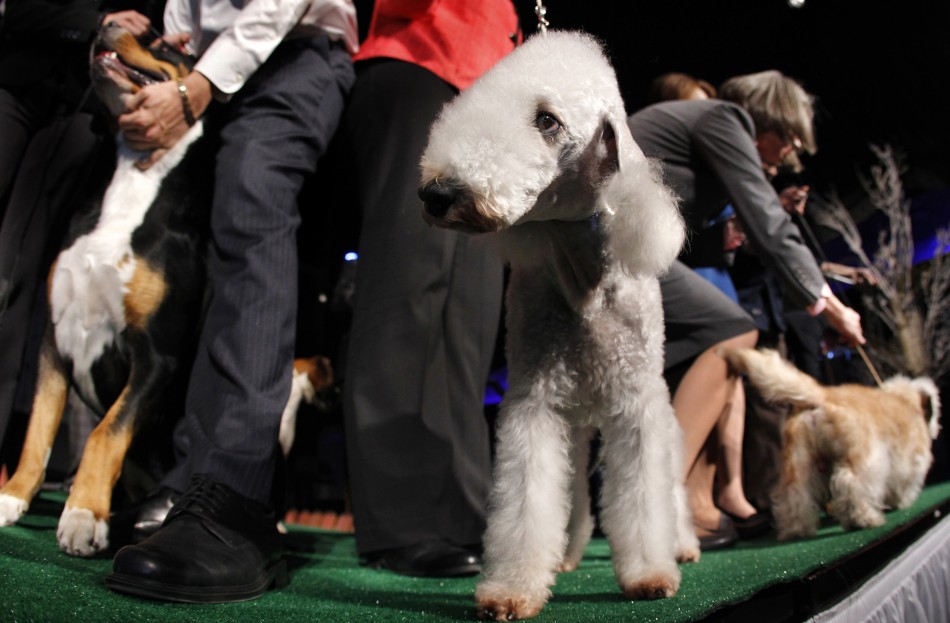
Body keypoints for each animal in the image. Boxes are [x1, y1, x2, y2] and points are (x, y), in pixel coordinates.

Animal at [420, 31, 696, 620]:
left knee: (670, 489)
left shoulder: (636, 404)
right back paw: (566, 555)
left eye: (547, 120)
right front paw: (513, 589)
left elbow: (645, 496)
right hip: (577, 420)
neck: (584, 276)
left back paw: (683, 545)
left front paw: (649, 574)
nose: (437, 194)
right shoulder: (536, 401)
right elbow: (528, 501)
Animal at [724, 346, 940, 540]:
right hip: (862, 460)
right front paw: (902, 502)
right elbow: (904, 483)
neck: (905, 401)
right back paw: (862, 519)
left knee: (794, 496)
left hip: (798, 466)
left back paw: (796, 530)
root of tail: (823, 395)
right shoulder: (908, 462)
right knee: (852, 486)